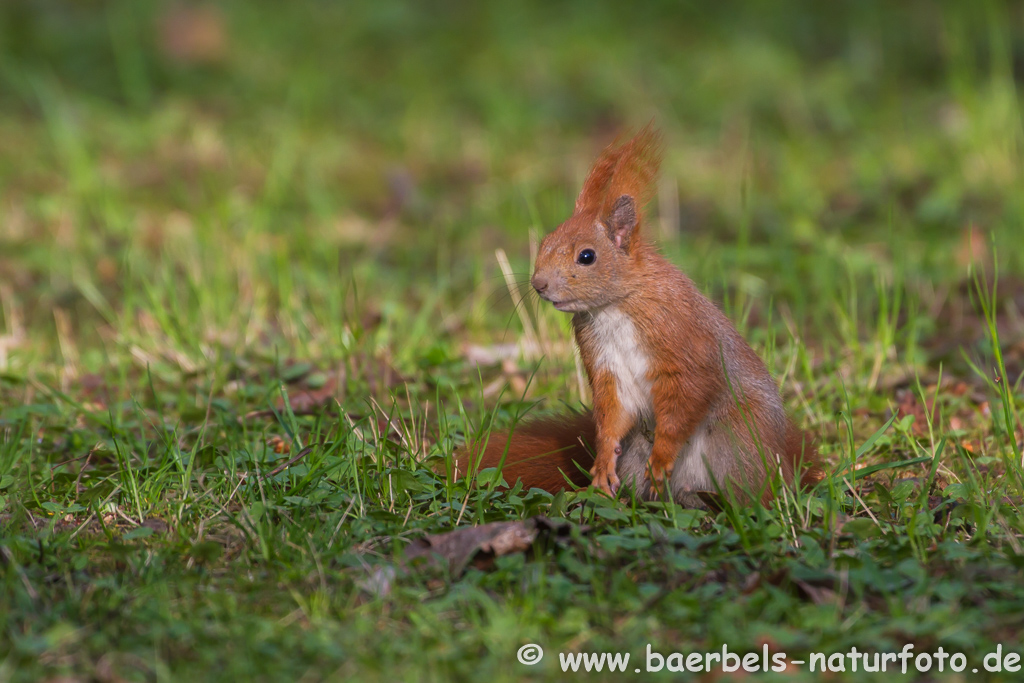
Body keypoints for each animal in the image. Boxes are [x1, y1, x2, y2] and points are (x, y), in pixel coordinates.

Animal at [460, 124, 819, 507]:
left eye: (586, 256)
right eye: (544, 243)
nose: (538, 284)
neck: (614, 307)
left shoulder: (680, 342)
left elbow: (685, 401)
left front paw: (662, 456)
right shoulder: (606, 365)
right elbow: (613, 413)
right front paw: (602, 462)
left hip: (737, 444)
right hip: (637, 453)